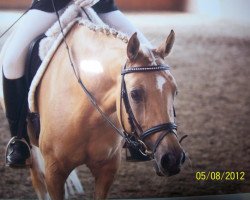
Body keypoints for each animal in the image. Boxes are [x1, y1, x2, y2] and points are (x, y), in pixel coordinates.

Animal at [0, 19, 186, 200]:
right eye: (135, 94)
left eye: (175, 91)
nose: (172, 159)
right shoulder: (54, 172)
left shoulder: (107, 170)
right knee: (37, 178)